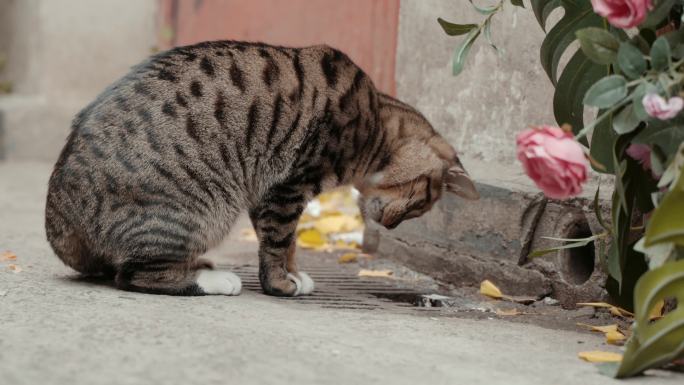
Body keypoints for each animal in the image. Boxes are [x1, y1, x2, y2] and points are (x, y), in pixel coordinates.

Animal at [45, 40, 478, 296]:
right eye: (421, 203)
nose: (391, 226)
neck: (376, 124)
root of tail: (59, 225)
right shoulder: (287, 187)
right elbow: (278, 241)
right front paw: (282, 284)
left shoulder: (268, 192)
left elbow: (288, 243)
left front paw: (293, 273)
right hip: (198, 209)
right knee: (136, 276)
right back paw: (211, 278)